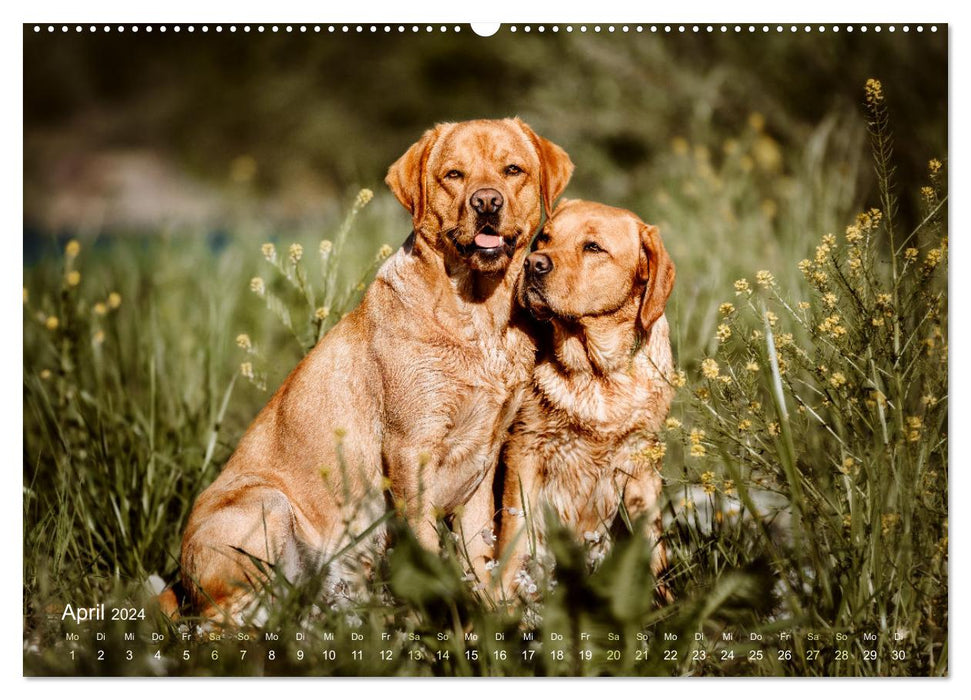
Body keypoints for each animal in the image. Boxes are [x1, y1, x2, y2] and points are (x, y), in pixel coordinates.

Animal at [180, 117, 676, 620]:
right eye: (453, 174)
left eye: (512, 170)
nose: (486, 201)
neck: (478, 314)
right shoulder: (410, 452)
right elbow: (427, 553)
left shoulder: (486, 455)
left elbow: (482, 551)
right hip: (267, 507)